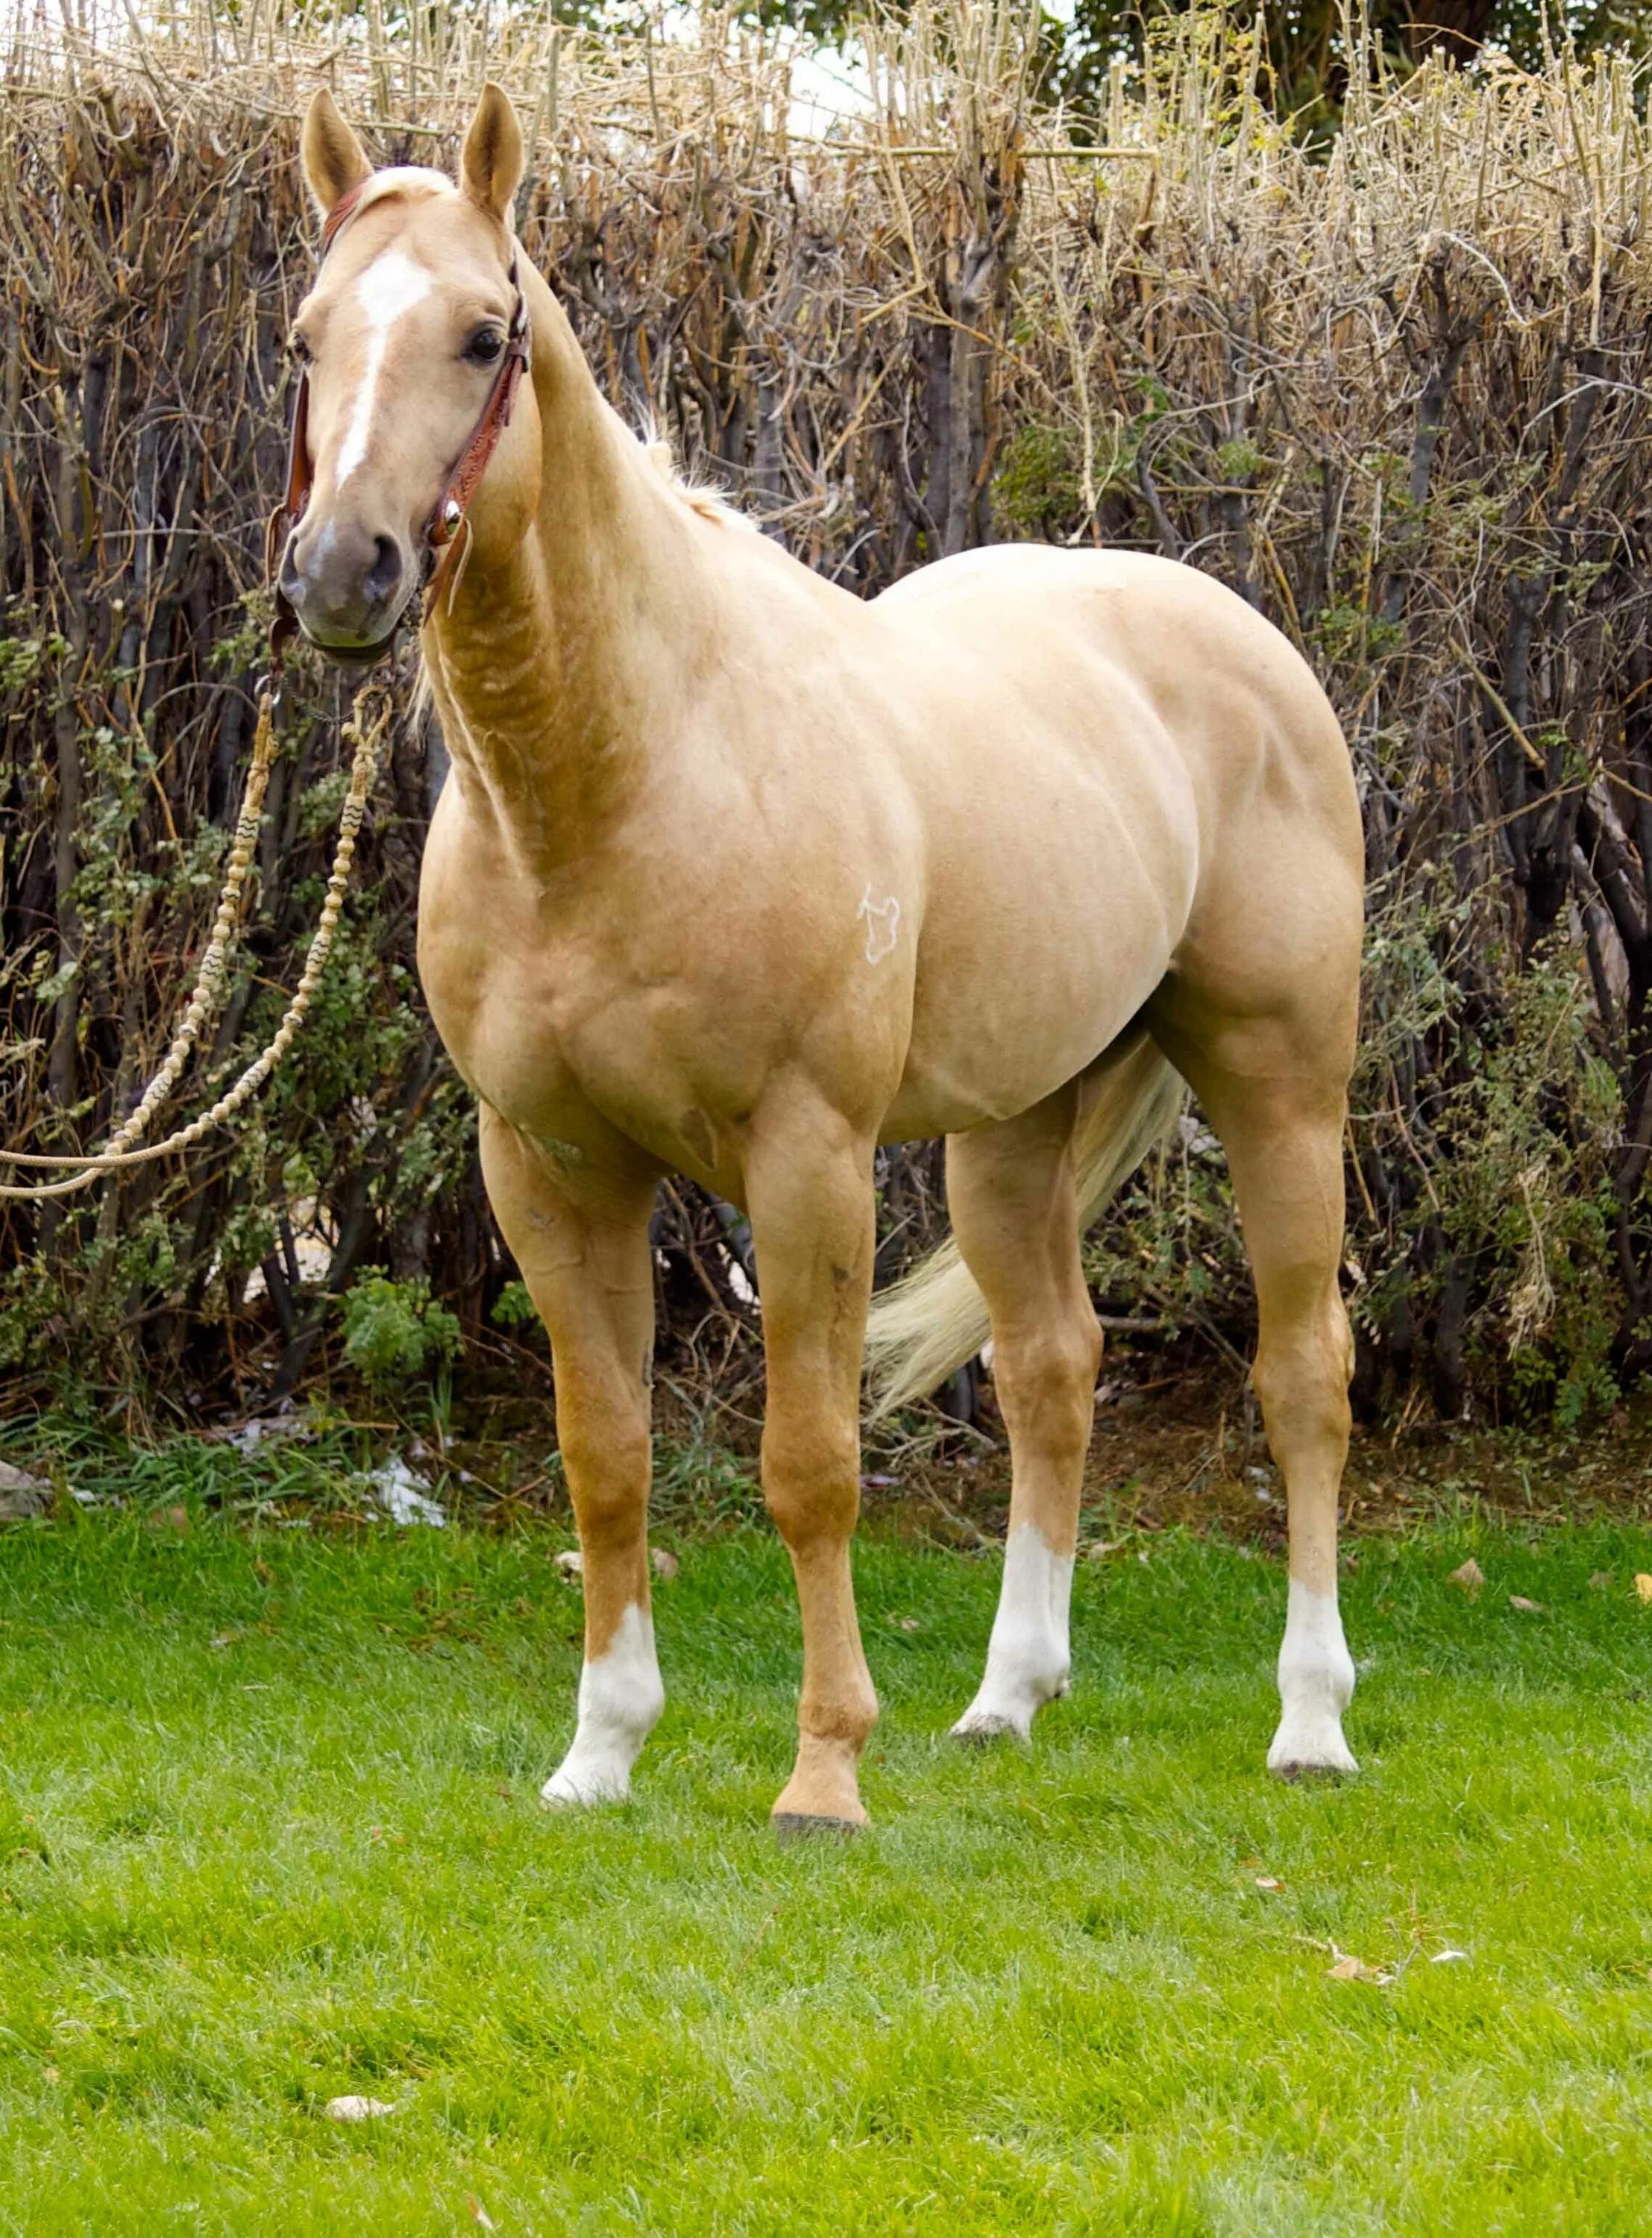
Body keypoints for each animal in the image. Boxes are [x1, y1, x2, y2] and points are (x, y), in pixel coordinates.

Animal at [280, 87, 1360, 1835]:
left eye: (483, 333)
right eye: (306, 336)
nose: (341, 573)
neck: (629, 777)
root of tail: (1235, 637)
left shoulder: (806, 1161)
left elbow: (808, 1468)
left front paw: (823, 1773)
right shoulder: (552, 1167)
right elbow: (608, 1462)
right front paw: (599, 1754)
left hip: (1281, 1086)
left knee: (1303, 1376)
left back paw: (1312, 1722)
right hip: (1012, 1128)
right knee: (1052, 1368)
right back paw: (1004, 1702)